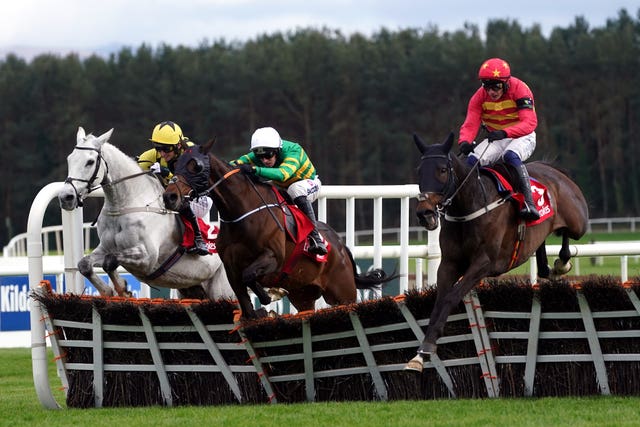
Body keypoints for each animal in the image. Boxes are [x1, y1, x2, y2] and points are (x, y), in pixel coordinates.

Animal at [161, 139, 396, 320]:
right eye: (175, 165)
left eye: (196, 166)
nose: (170, 196)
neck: (243, 214)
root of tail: (342, 248)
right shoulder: (230, 270)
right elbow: (246, 299)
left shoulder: (273, 258)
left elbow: (250, 275)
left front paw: (269, 296)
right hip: (303, 294)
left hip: (342, 293)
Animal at [408, 133, 588, 372]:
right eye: (419, 170)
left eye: (443, 170)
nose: (424, 213)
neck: (469, 206)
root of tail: (555, 170)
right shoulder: (449, 263)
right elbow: (439, 300)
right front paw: (421, 353)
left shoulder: (484, 263)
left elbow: (451, 297)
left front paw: (427, 347)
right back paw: (547, 266)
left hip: (578, 223)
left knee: (568, 234)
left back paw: (561, 263)